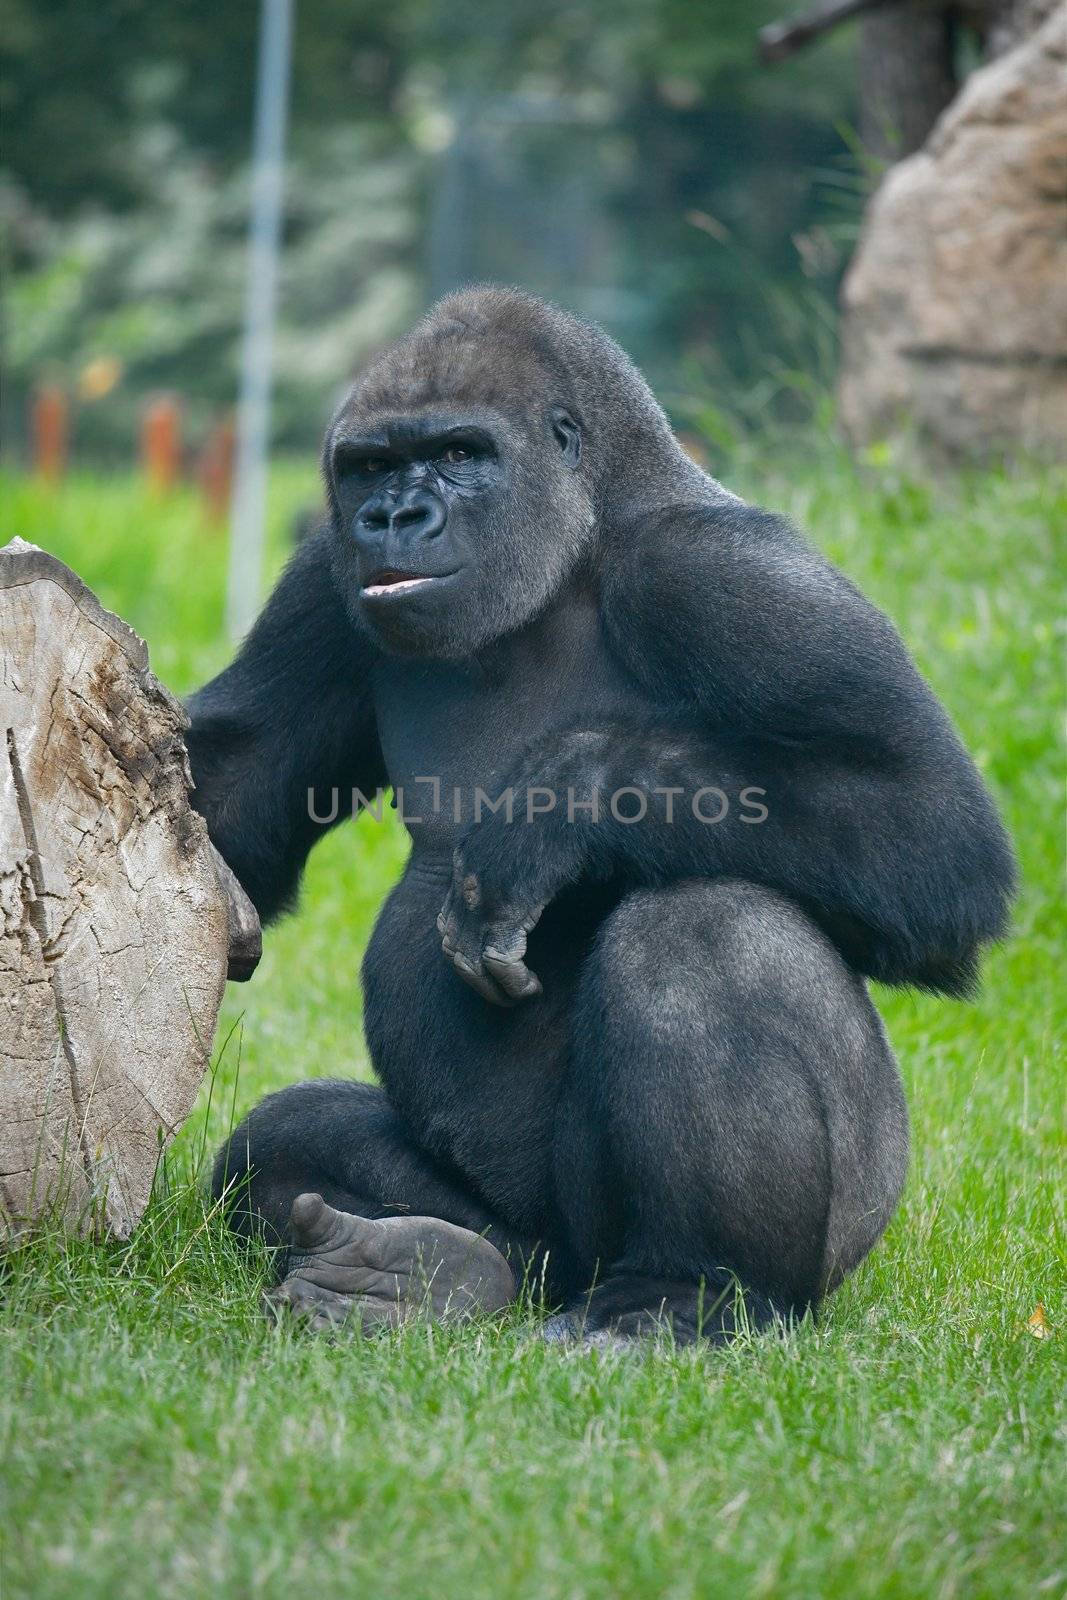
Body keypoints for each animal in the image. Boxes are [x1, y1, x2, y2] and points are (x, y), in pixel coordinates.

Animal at [185, 284, 1017, 1337]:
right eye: (369, 465)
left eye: (460, 452)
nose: (393, 515)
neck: (577, 541)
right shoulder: (325, 580)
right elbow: (242, 791)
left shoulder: (727, 575)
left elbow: (932, 830)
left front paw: (559, 806)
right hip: (528, 1244)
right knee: (288, 1145)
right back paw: (426, 1272)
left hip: (839, 1233)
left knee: (704, 928)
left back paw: (690, 1291)